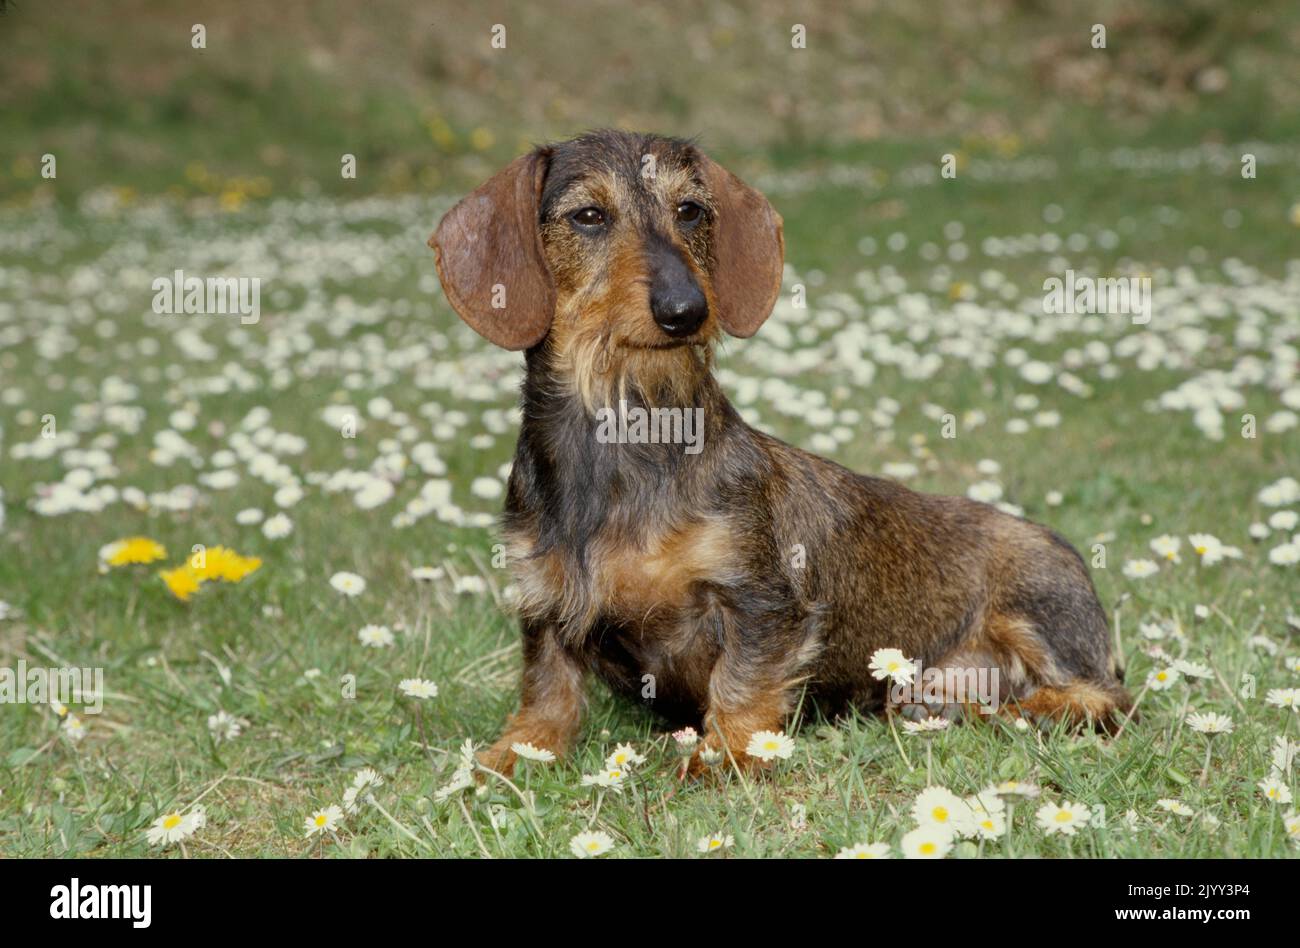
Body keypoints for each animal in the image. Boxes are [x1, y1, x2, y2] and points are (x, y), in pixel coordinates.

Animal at [431, 127, 1133, 775]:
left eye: (691, 210)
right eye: (588, 216)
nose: (686, 310)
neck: (621, 433)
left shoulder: (762, 603)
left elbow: (742, 684)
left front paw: (723, 755)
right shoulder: (545, 608)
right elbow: (547, 693)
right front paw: (507, 757)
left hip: (1036, 613)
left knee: (1106, 697)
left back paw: (1029, 709)